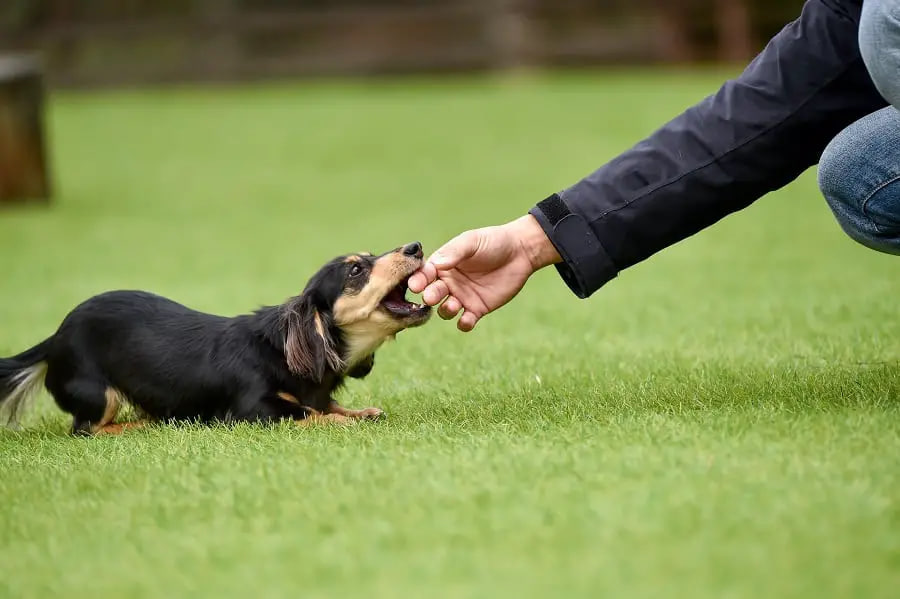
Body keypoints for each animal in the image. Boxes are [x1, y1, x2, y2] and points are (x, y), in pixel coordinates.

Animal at [0, 243, 432, 436]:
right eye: (356, 270)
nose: (415, 246)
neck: (280, 352)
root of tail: (55, 336)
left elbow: (326, 405)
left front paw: (359, 412)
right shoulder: (253, 410)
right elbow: (306, 414)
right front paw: (339, 421)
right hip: (99, 394)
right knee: (86, 429)